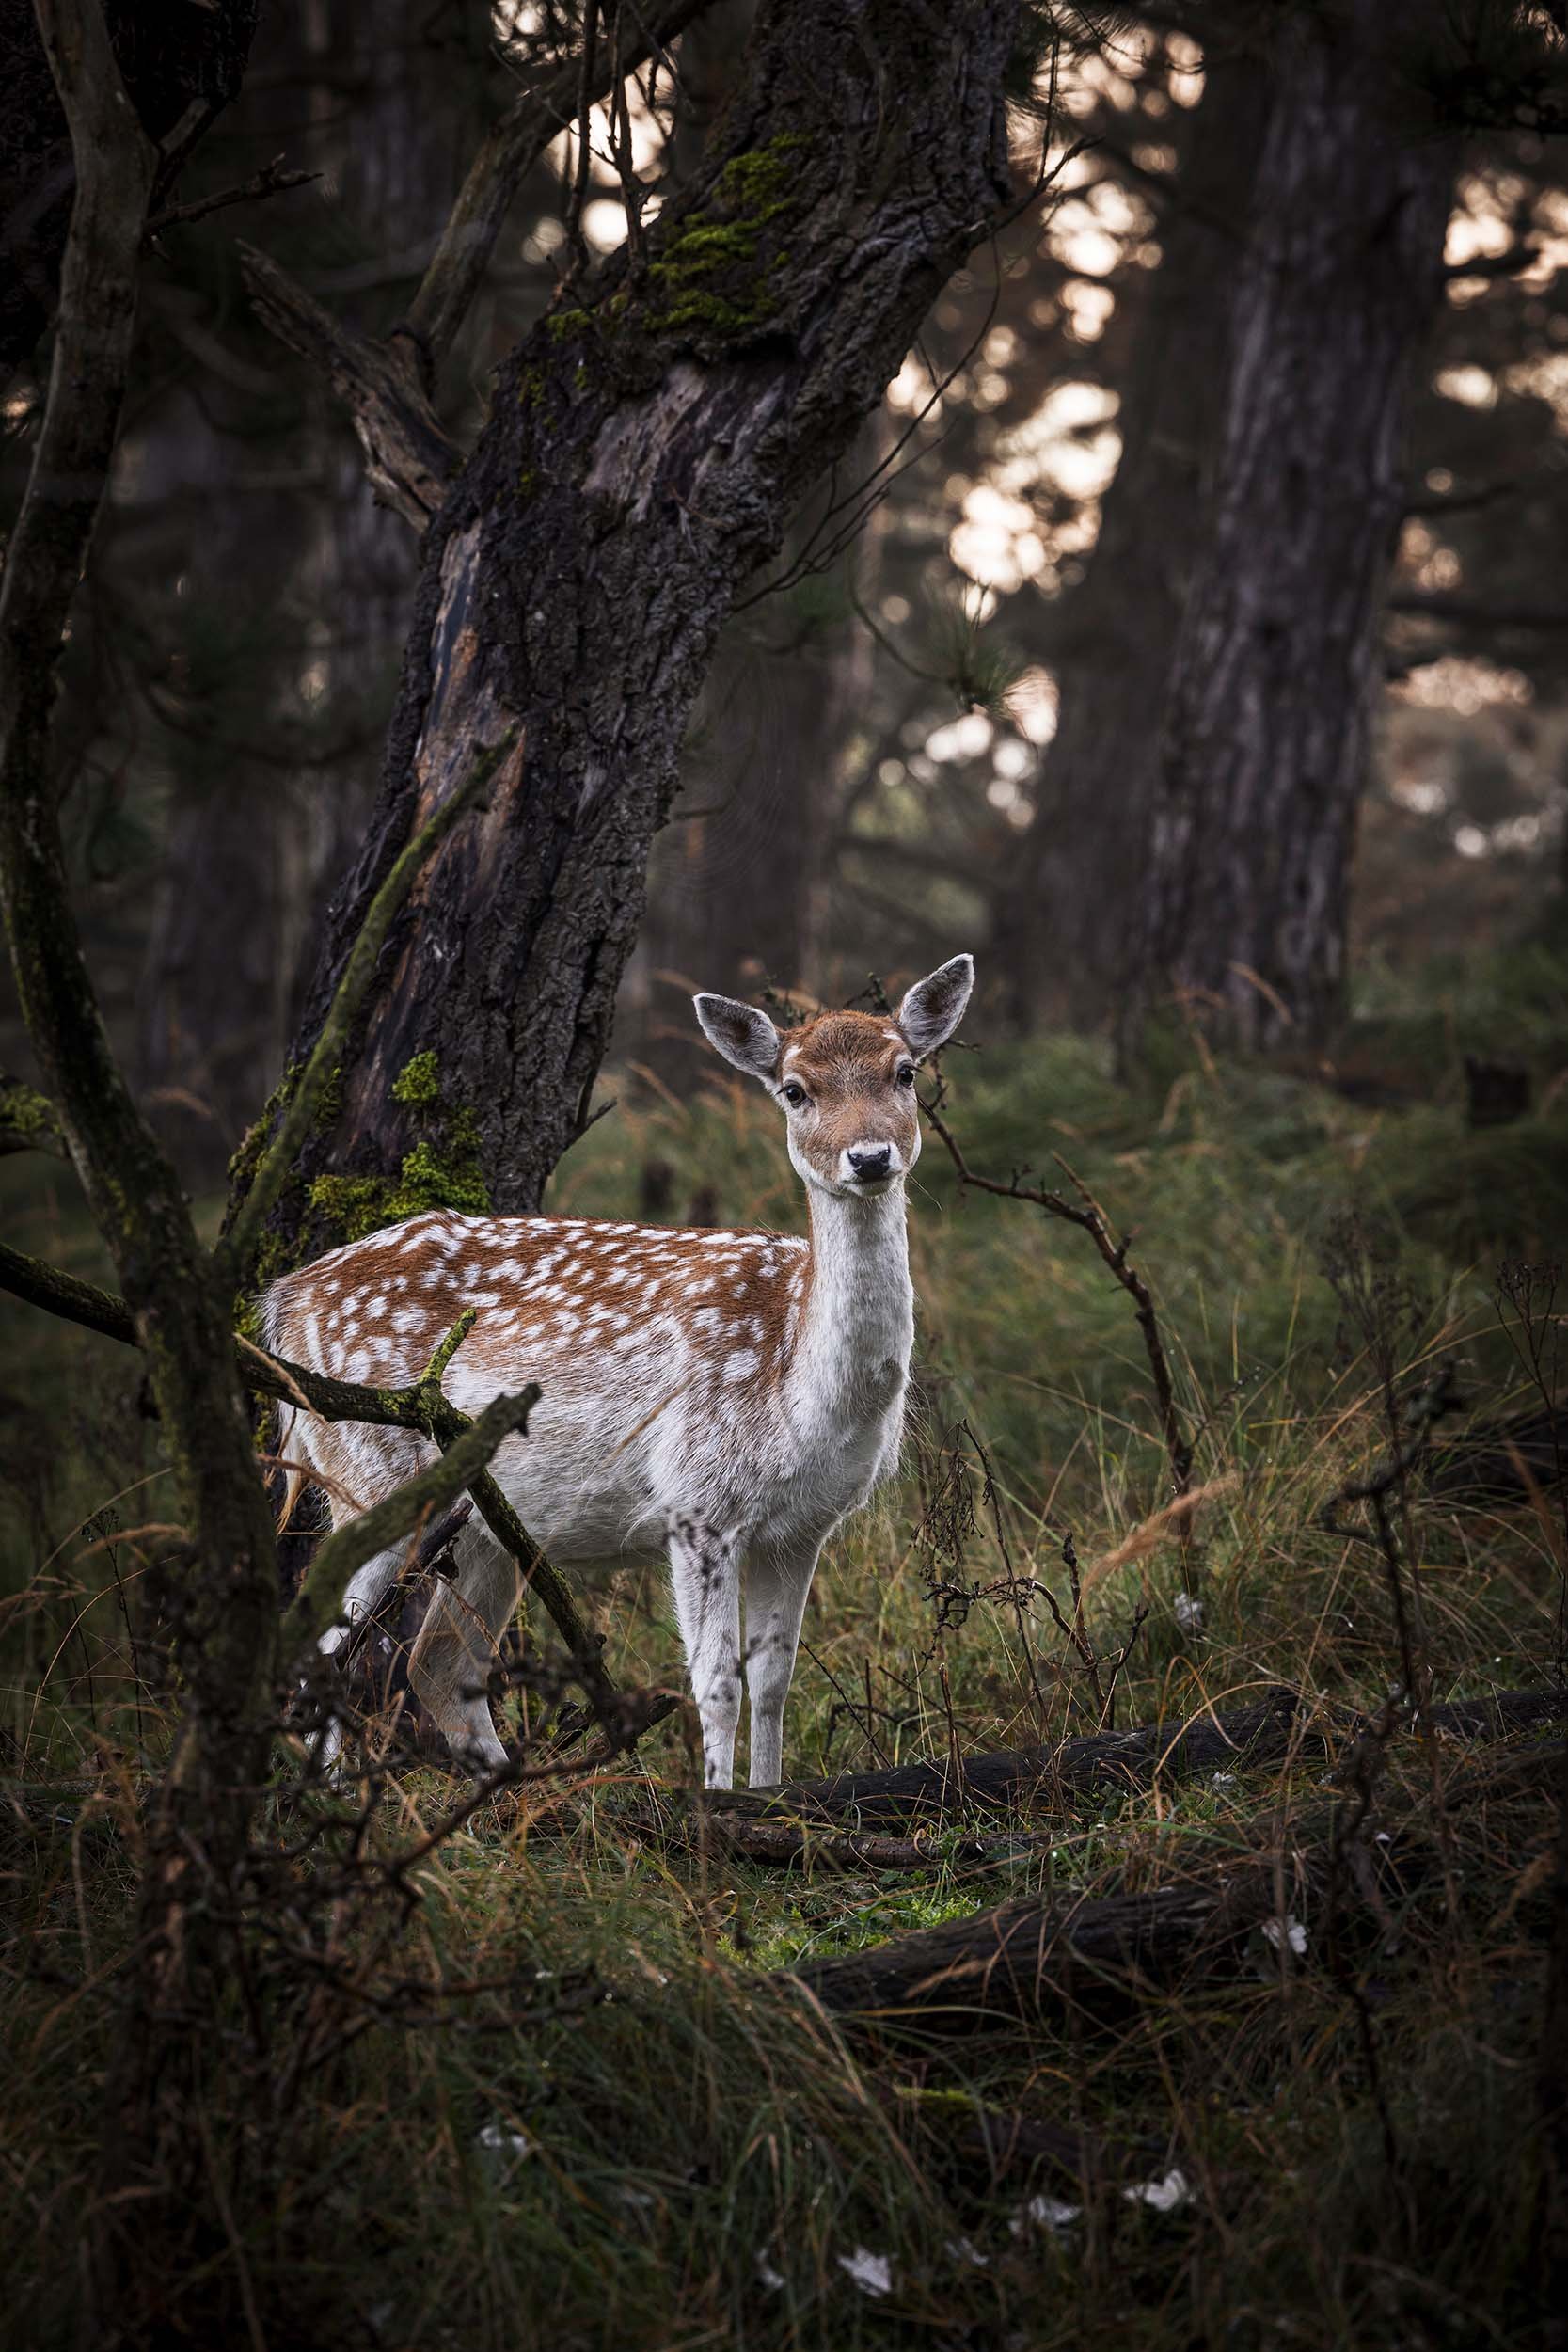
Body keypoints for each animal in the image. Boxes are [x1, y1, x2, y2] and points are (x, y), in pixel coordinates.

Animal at [263, 954, 974, 1788]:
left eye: (905, 1072)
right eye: (794, 1090)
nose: (868, 1157)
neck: (798, 1389)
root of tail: (284, 1299)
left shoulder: (803, 1527)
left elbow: (774, 1679)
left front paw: (773, 1798)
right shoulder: (697, 1501)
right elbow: (717, 1685)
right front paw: (719, 1806)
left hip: (484, 1525)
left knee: (437, 1663)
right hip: (367, 1468)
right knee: (327, 1646)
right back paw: (331, 1795)